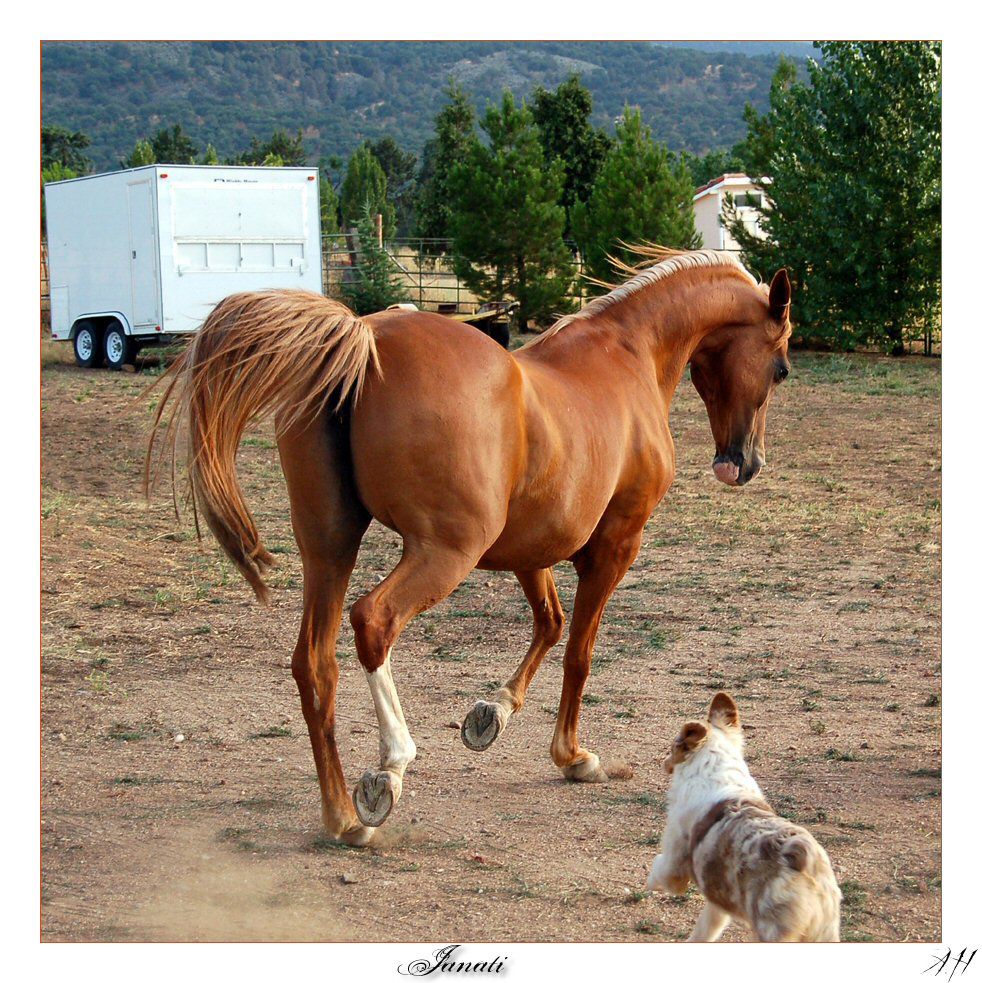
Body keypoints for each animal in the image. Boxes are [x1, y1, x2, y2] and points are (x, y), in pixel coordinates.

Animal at [148, 246, 792, 844]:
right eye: (782, 367)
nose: (745, 462)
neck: (628, 353)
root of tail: (365, 337)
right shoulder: (614, 544)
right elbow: (579, 652)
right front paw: (572, 757)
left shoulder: (529, 548)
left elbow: (550, 624)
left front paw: (490, 715)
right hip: (442, 552)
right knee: (372, 622)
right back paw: (389, 771)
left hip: (330, 548)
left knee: (315, 663)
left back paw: (343, 818)